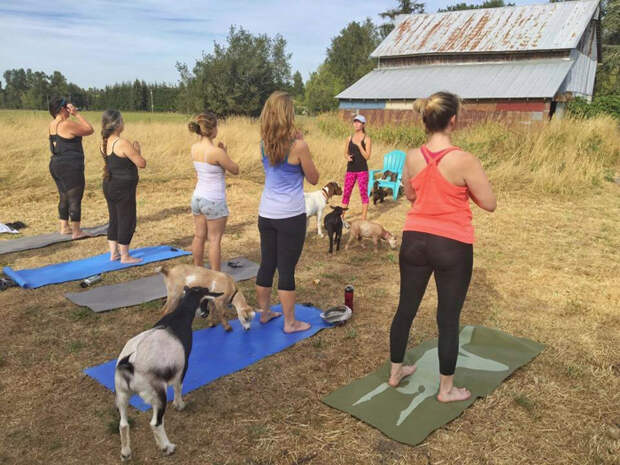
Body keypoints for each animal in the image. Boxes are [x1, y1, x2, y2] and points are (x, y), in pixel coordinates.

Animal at [114, 284, 223, 458]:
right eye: (206, 301)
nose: (205, 314)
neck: (178, 318)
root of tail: (129, 363)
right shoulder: (183, 365)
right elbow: (178, 386)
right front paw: (180, 405)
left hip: (121, 394)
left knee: (123, 424)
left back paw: (125, 453)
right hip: (157, 395)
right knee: (156, 423)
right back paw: (167, 447)